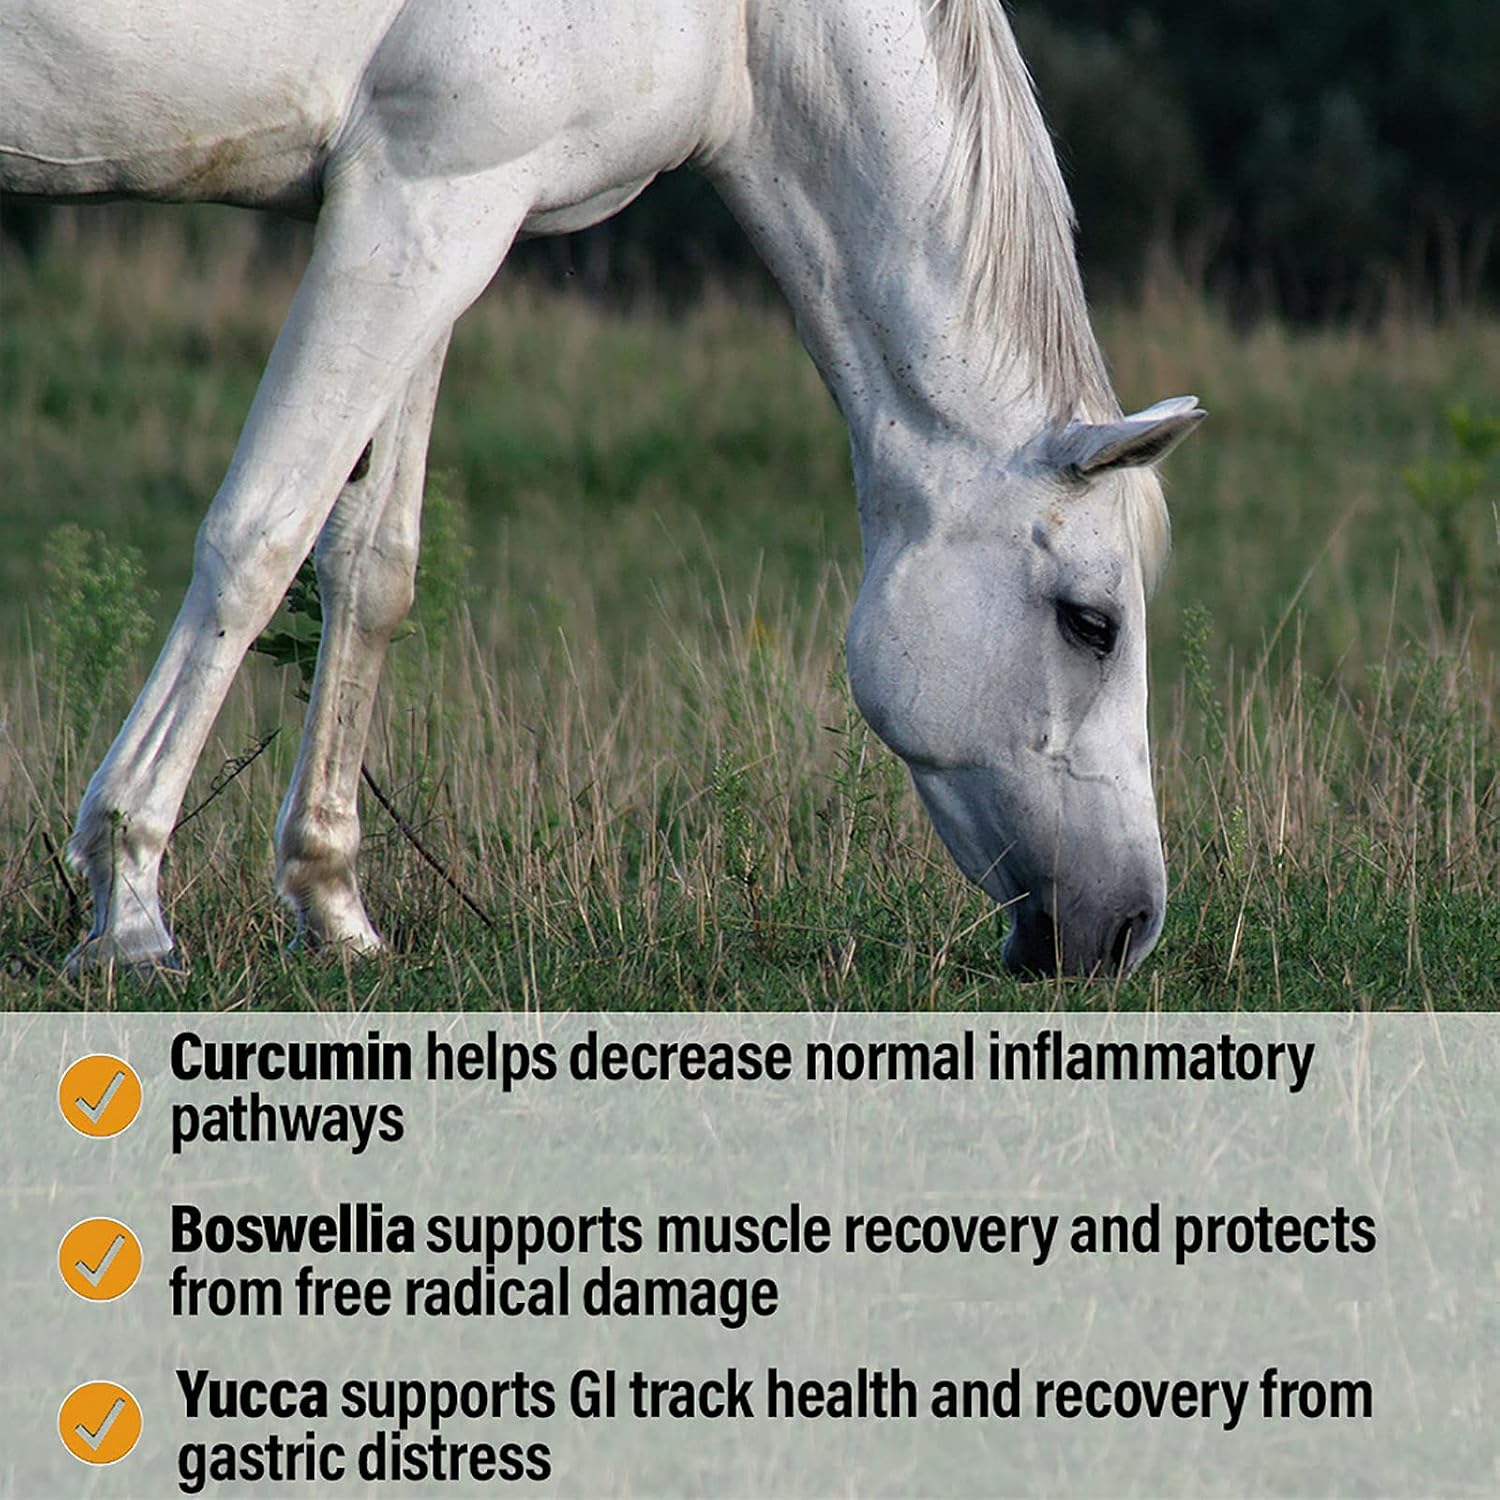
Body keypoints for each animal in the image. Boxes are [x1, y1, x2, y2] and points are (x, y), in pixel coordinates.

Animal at [1, 0, 1203, 978]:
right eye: (1091, 624)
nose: (1129, 929)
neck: (745, 24)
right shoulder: (422, 197)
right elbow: (258, 538)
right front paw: (128, 907)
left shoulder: (439, 219)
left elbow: (372, 567)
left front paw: (332, 906)